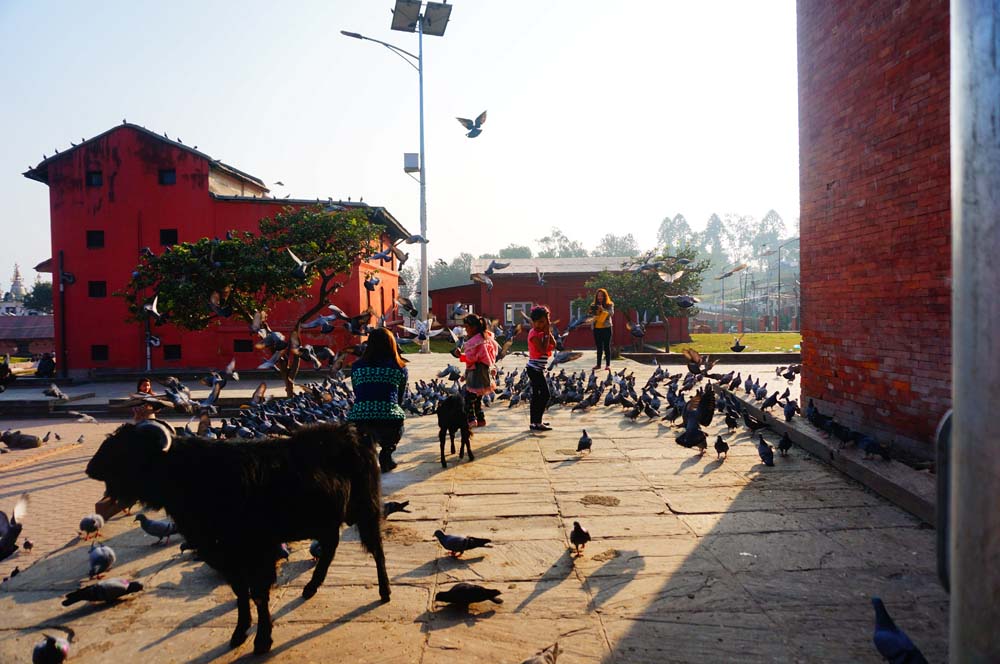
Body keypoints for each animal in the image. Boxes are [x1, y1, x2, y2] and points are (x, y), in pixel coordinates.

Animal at [84, 420, 388, 652]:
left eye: (127, 448)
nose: (91, 467)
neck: (195, 476)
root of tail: (354, 433)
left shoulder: (258, 552)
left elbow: (259, 594)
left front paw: (262, 640)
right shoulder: (224, 554)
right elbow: (241, 592)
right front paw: (240, 632)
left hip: (367, 508)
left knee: (376, 549)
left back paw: (384, 592)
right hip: (326, 520)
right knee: (331, 547)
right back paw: (311, 587)